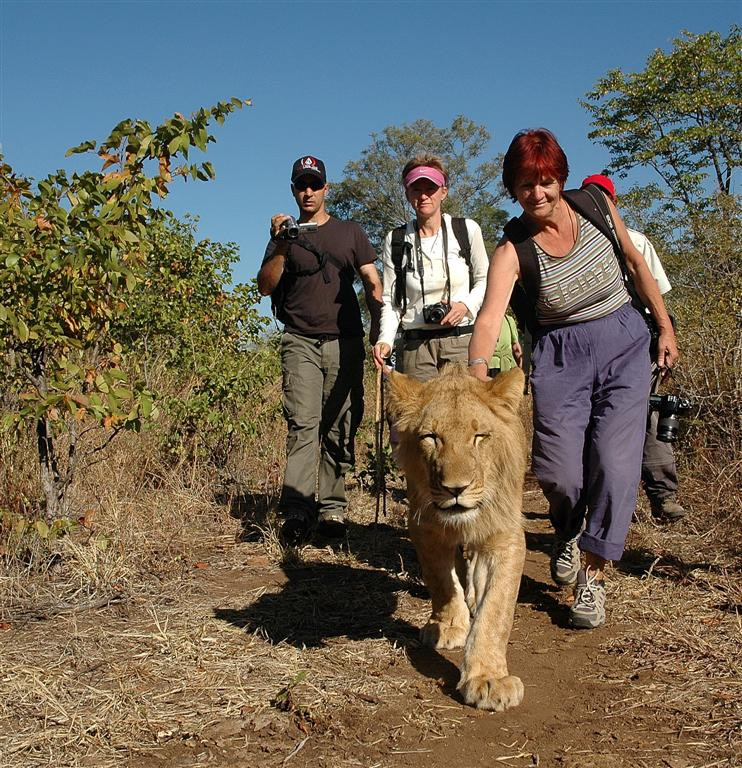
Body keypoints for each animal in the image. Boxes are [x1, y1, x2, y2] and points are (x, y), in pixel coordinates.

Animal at [387, 362, 527, 711]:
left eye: (479, 437)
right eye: (431, 438)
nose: (456, 489)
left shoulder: (505, 535)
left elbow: (496, 611)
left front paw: (488, 678)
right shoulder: (423, 526)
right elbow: (441, 582)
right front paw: (449, 626)